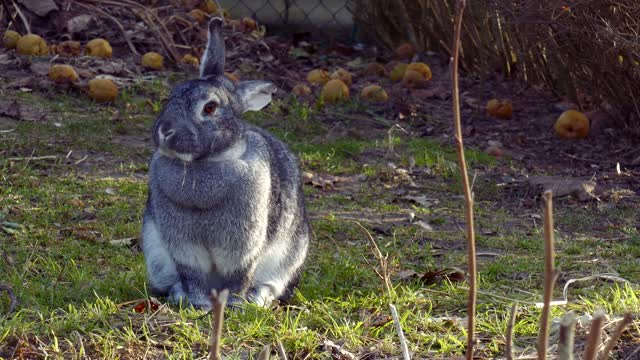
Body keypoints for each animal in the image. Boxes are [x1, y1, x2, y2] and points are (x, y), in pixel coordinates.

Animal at [141, 17, 310, 310]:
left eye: (210, 108)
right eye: (171, 97)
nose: (164, 131)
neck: (206, 163)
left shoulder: (243, 247)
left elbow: (238, 275)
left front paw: (234, 305)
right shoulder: (184, 247)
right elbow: (193, 275)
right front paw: (198, 304)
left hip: (288, 258)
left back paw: (255, 298)